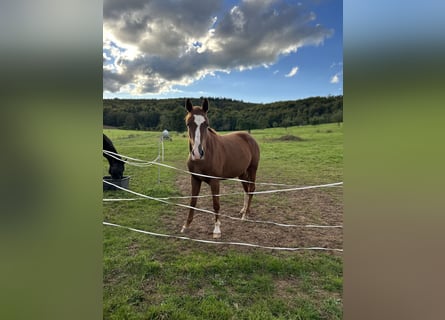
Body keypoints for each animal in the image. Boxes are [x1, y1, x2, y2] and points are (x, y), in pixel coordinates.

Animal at [180, 99, 260, 239]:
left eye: (206, 124)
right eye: (188, 123)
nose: (197, 153)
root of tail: (250, 138)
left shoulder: (214, 181)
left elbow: (216, 204)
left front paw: (217, 230)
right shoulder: (195, 179)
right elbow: (193, 202)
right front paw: (186, 226)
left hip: (252, 169)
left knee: (251, 189)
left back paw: (246, 215)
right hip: (242, 173)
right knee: (246, 189)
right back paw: (244, 210)